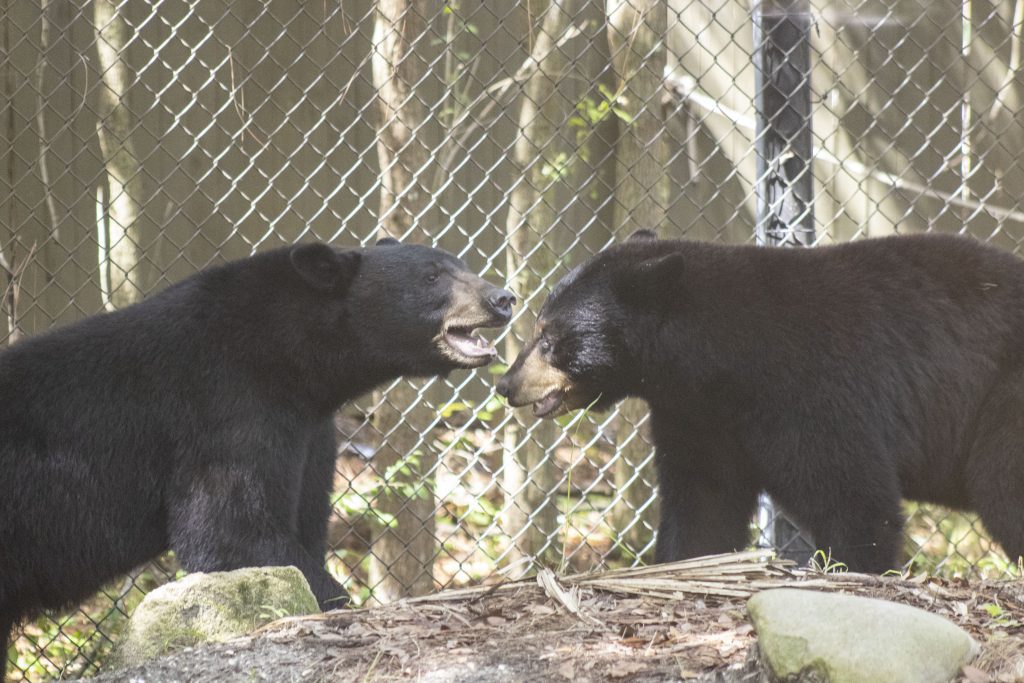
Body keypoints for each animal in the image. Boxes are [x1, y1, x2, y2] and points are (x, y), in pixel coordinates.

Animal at [0, 238, 515, 677]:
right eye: (432, 276)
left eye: (460, 264)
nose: (502, 298)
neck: (294, 356)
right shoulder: (227, 405)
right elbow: (229, 529)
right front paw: (332, 598)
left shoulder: (311, 431)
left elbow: (301, 520)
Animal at [497, 229, 1024, 573]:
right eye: (540, 327)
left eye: (550, 337)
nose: (507, 385)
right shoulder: (698, 415)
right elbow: (704, 499)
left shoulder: (811, 390)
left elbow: (853, 497)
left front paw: (853, 567)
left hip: (1005, 396)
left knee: (1001, 481)